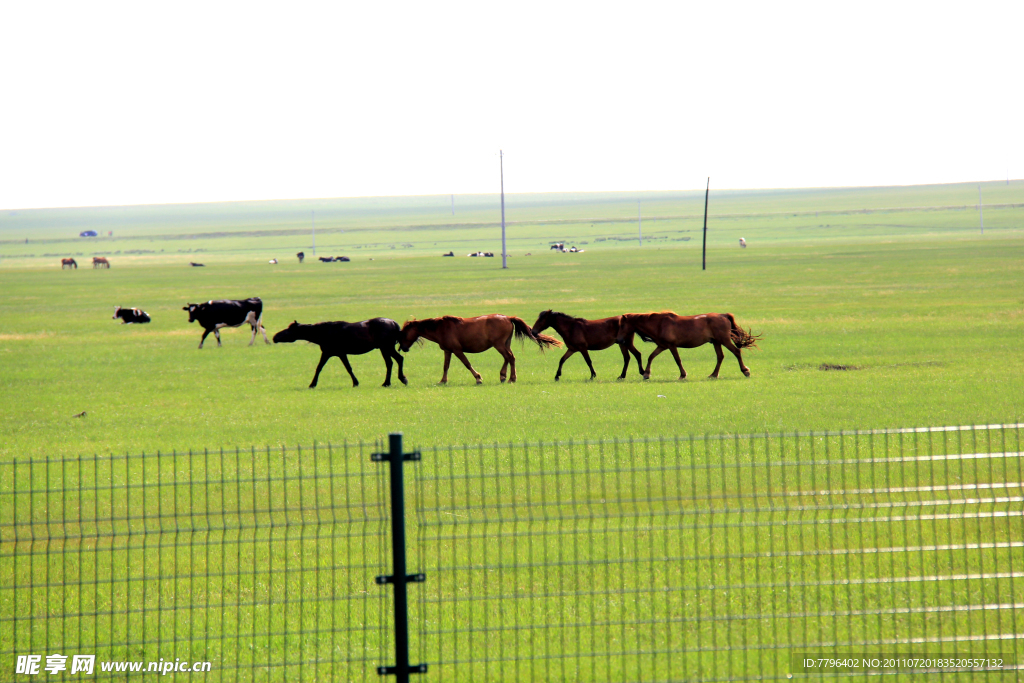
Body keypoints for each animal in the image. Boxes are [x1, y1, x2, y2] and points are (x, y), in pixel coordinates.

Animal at [272, 317, 407, 387]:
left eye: (289, 330)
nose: (275, 337)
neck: (324, 332)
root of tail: (394, 323)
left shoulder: (335, 353)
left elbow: (346, 368)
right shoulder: (332, 353)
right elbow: (320, 368)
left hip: (386, 348)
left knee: (395, 361)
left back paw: (397, 380)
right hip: (386, 348)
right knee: (394, 361)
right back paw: (391, 382)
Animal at [397, 315, 561, 385]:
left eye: (403, 333)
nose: (403, 348)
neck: (440, 328)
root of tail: (508, 317)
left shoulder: (457, 350)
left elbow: (467, 364)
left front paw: (478, 378)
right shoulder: (447, 351)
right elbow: (446, 366)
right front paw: (442, 380)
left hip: (499, 345)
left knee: (510, 358)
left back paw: (511, 378)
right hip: (504, 344)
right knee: (508, 357)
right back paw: (503, 376)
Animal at [614, 313, 761, 382]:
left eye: (622, 325)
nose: (618, 340)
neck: (659, 324)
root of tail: (723, 315)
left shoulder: (671, 346)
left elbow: (677, 360)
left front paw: (682, 375)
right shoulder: (662, 346)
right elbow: (651, 357)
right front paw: (646, 373)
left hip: (724, 340)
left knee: (736, 351)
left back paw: (745, 371)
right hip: (716, 342)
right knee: (720, 357)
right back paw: (713, 374)